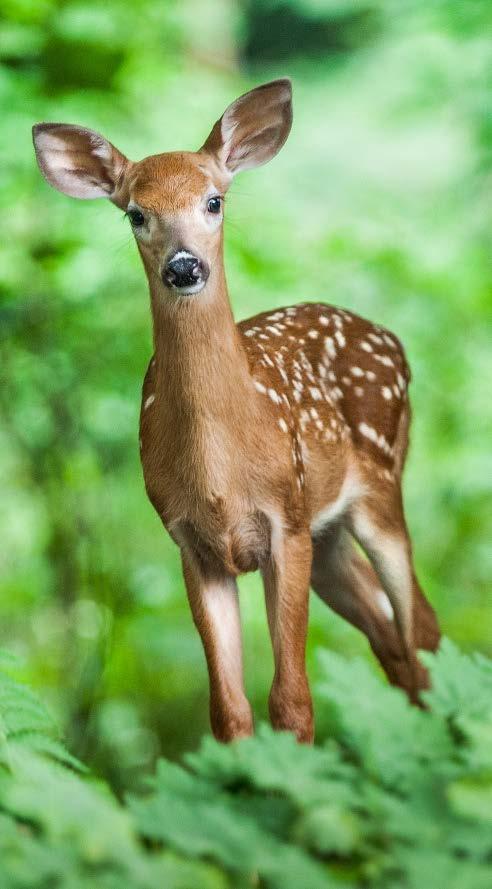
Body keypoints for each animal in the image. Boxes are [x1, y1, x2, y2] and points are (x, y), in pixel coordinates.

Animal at [32, 78, 440, 744]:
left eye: (214, 201)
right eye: (135, 213)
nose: (183, 266)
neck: (221, 470)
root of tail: (390, 338)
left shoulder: (285, 521)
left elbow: (292, 701)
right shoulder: (191, 542)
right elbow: (228, 710)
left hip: (379, 485)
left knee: (421, 628)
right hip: (328, 535)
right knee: (391, 638)